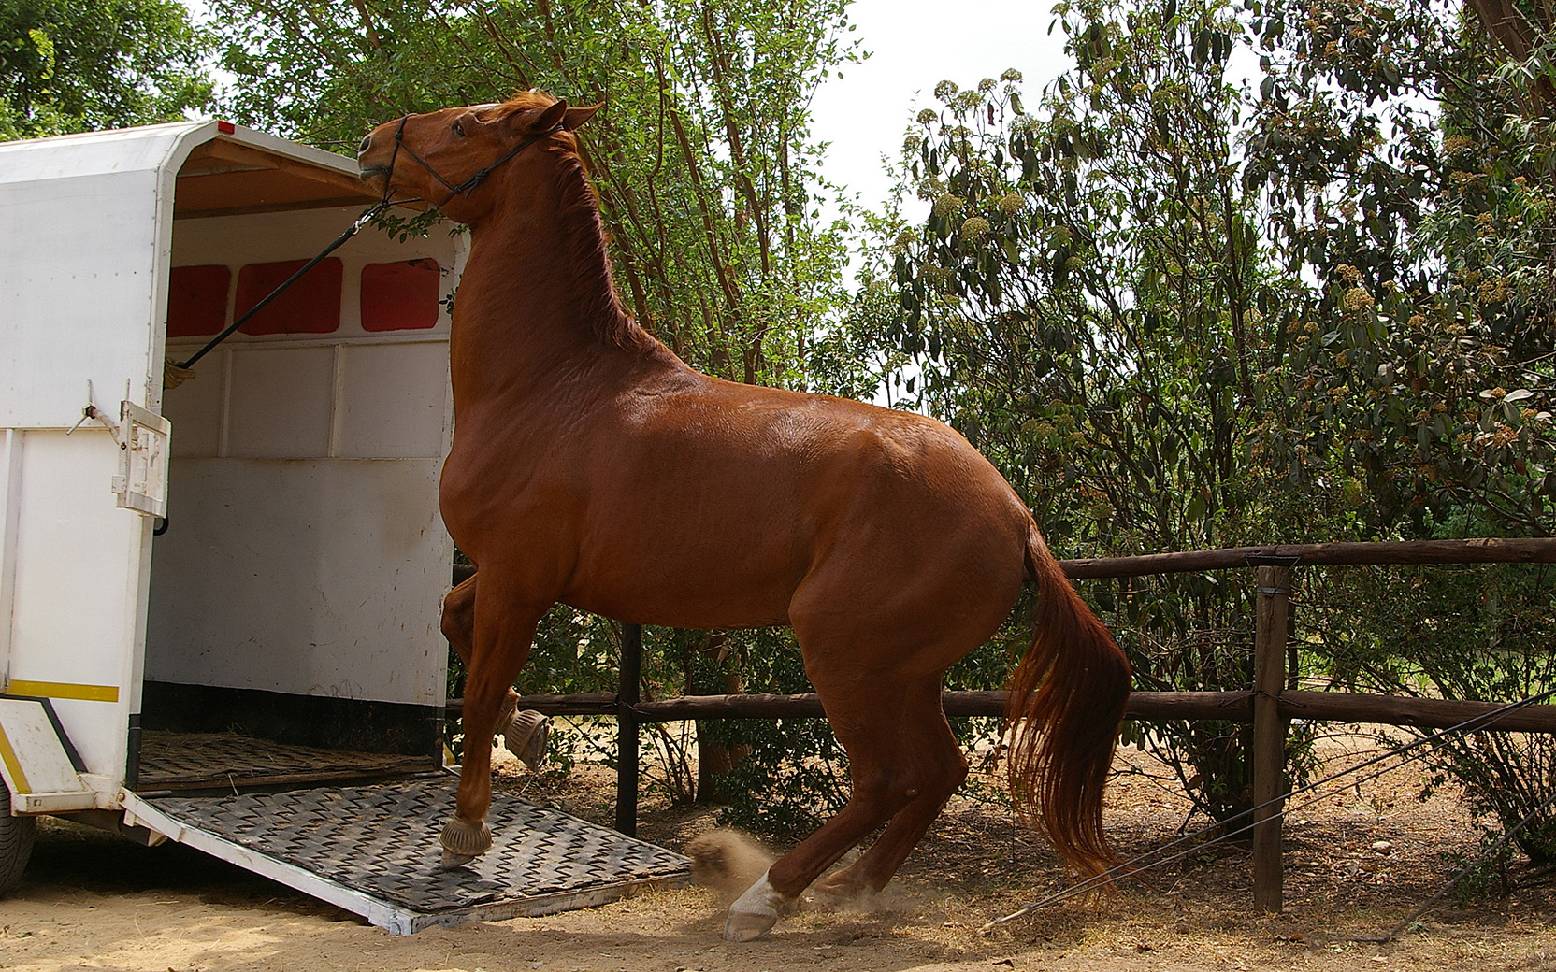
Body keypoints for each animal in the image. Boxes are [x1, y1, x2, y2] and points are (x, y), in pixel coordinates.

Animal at [357, 91, 1131, 941]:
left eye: (466, 125)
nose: (371, 145)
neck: (550, 388)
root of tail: (1018, 518)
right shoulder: (512, 577)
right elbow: (452, 621)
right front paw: (529, 730)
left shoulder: (519, 580)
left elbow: (477, 688)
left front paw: (465, 833)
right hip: (908, 672)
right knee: (938, 771)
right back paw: (852, 887)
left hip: (844, 655)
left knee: (888, 778)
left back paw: (767, 897)